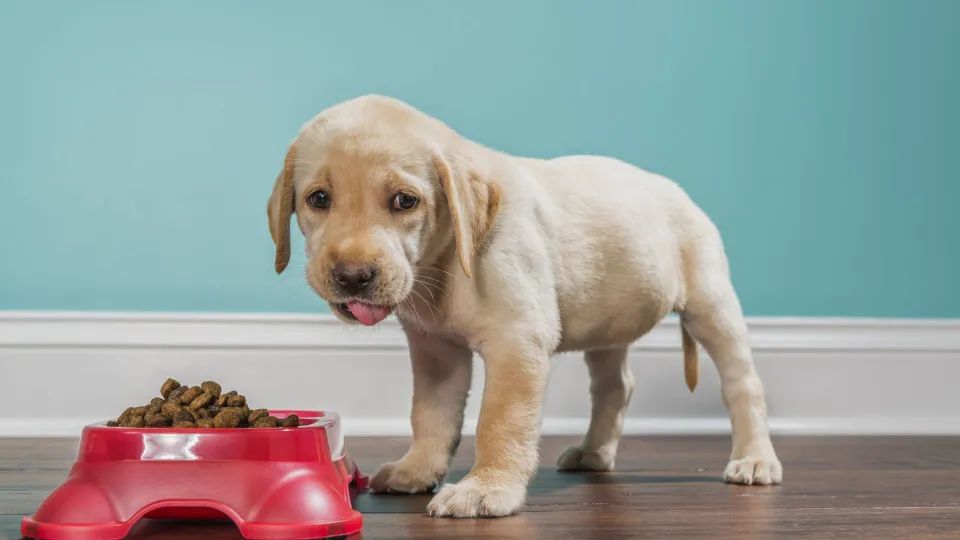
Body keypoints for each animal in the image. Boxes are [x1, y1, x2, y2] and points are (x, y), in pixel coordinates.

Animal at [266, 96, 784, 520]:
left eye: (404, 201)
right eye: (318, 199)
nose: (352, 276)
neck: (448, 258)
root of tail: (679, 192)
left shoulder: (516, 342)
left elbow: (499, 420)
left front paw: (486, 489)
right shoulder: (436, 351)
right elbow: (430, 414)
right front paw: (418, 469)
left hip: (710, 302)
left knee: (743, 385)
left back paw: (755, 458)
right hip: (609, 325)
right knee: (616, 386)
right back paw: (594, 453)